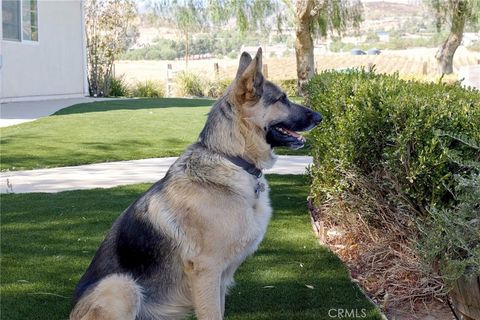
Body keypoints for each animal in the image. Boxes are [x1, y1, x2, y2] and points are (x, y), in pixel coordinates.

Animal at [71, 48, 322, 320]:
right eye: (282, 99)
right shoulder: (207, 271)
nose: (320, 117)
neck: (229, 157)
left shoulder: (220, 279)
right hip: (121, 285)